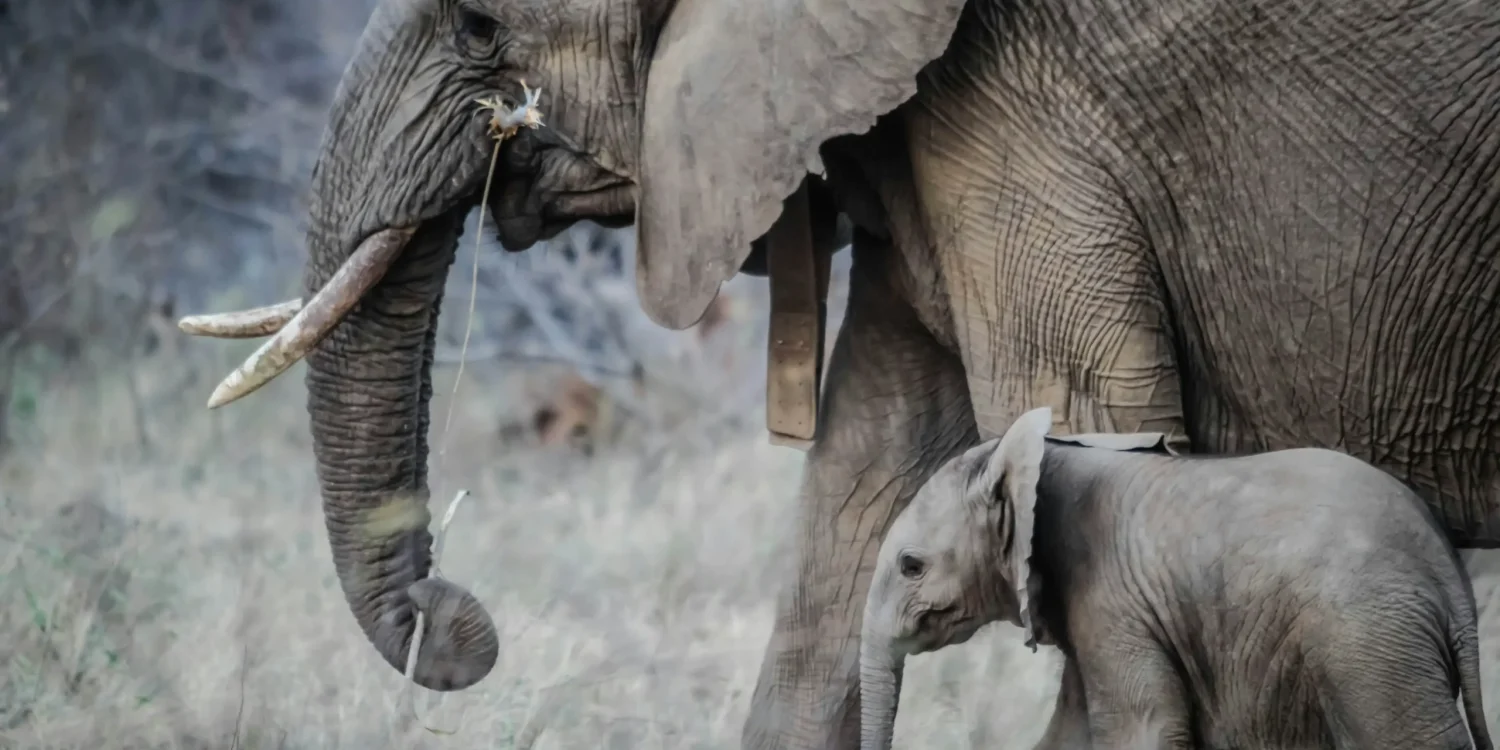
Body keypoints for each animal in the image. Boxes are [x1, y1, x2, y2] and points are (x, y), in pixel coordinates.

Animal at [860, 406, 1494, 750]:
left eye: (911, 566)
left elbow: (1144, 729)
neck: (1036, 456)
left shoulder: (1113, 600)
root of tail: (1450, 580)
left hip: (1369, 645)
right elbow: (1071, 735)